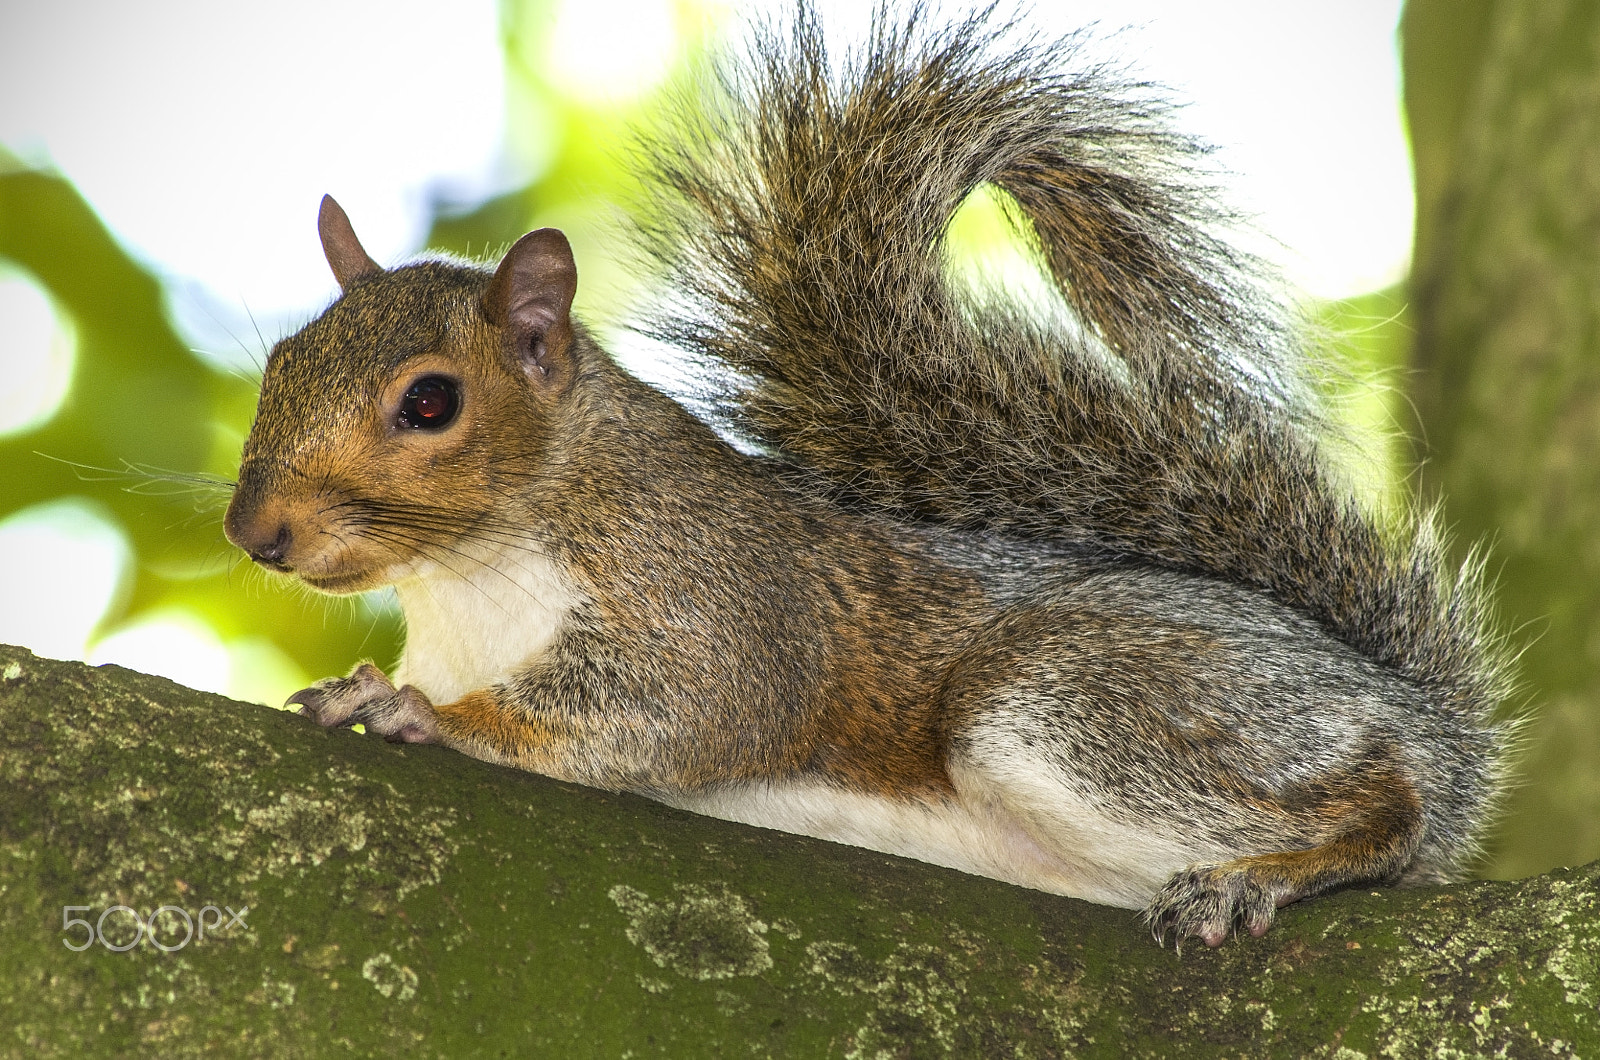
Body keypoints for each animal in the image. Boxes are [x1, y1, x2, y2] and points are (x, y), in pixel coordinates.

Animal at [225, 0, 1510, 947]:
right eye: (281, 361)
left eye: (429, 402)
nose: (256, 533)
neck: (470, 576)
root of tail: (1415, 716)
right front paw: (360, 687)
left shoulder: (713, 598)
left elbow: (693, 705)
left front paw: (418, 711)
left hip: (1075, 700)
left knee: (1382, 806)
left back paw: (1269, 870)